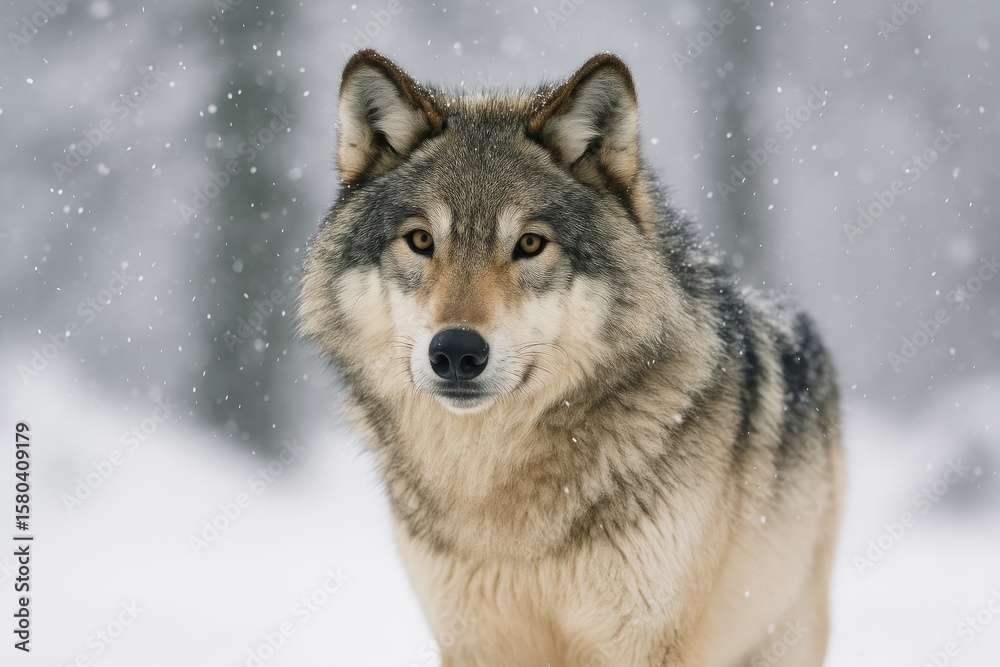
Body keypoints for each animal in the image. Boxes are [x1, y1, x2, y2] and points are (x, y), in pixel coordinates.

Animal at [299, 49, 843, 666]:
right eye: (420, 241)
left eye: (530, 244)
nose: (456, 351)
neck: (493, 493)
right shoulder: (476, 641)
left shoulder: (640, 643)